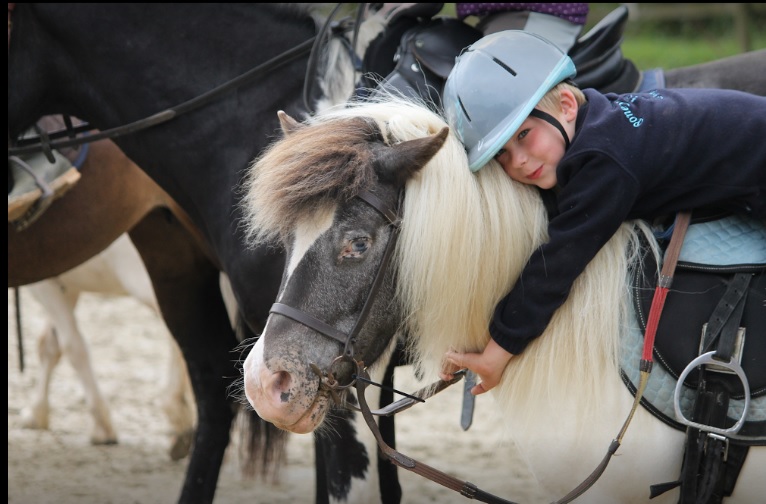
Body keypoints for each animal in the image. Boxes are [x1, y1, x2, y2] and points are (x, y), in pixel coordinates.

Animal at [16, 233, 195, 460]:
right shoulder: (66, 285)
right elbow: (50, 345)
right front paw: (37, 412)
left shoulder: (43, 285)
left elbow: (73, 347)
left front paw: (102, 427)